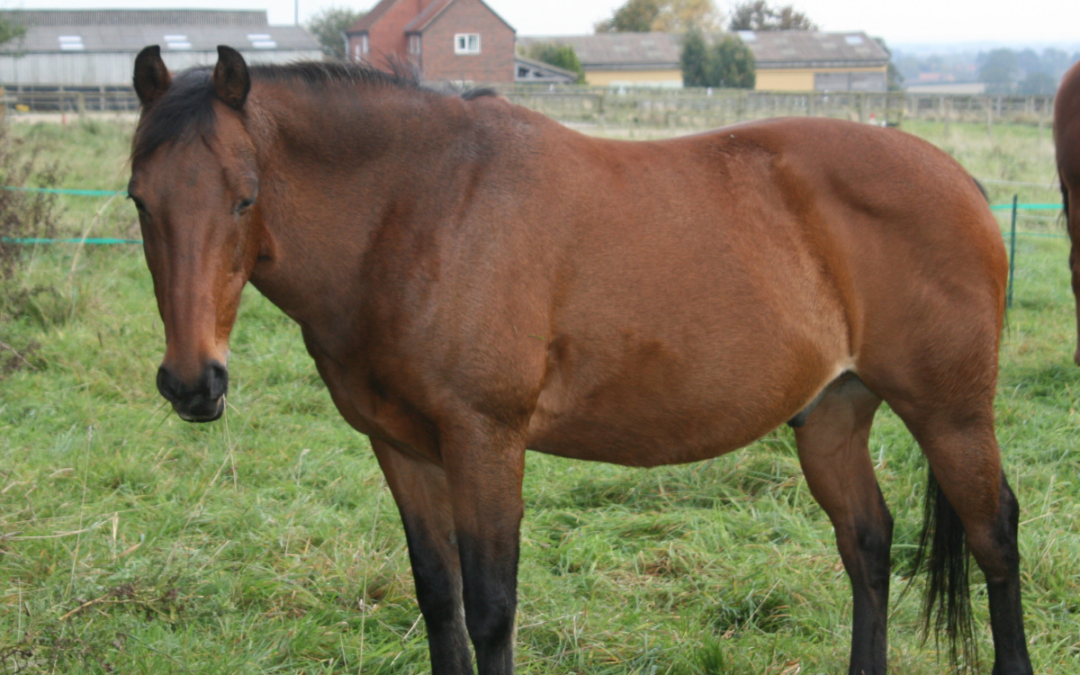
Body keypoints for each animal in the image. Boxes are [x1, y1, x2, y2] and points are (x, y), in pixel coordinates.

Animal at [130, 44, 1032, 669]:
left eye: (244, 196)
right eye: (140, 199)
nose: (191, 382)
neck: (422, 208)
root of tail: (961, 181)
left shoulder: (485, 440)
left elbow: (492, 604)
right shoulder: (402, 447)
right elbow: (439, 597)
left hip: (951, 414)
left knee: (994, 535)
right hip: (832, 414)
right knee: (868, 544)